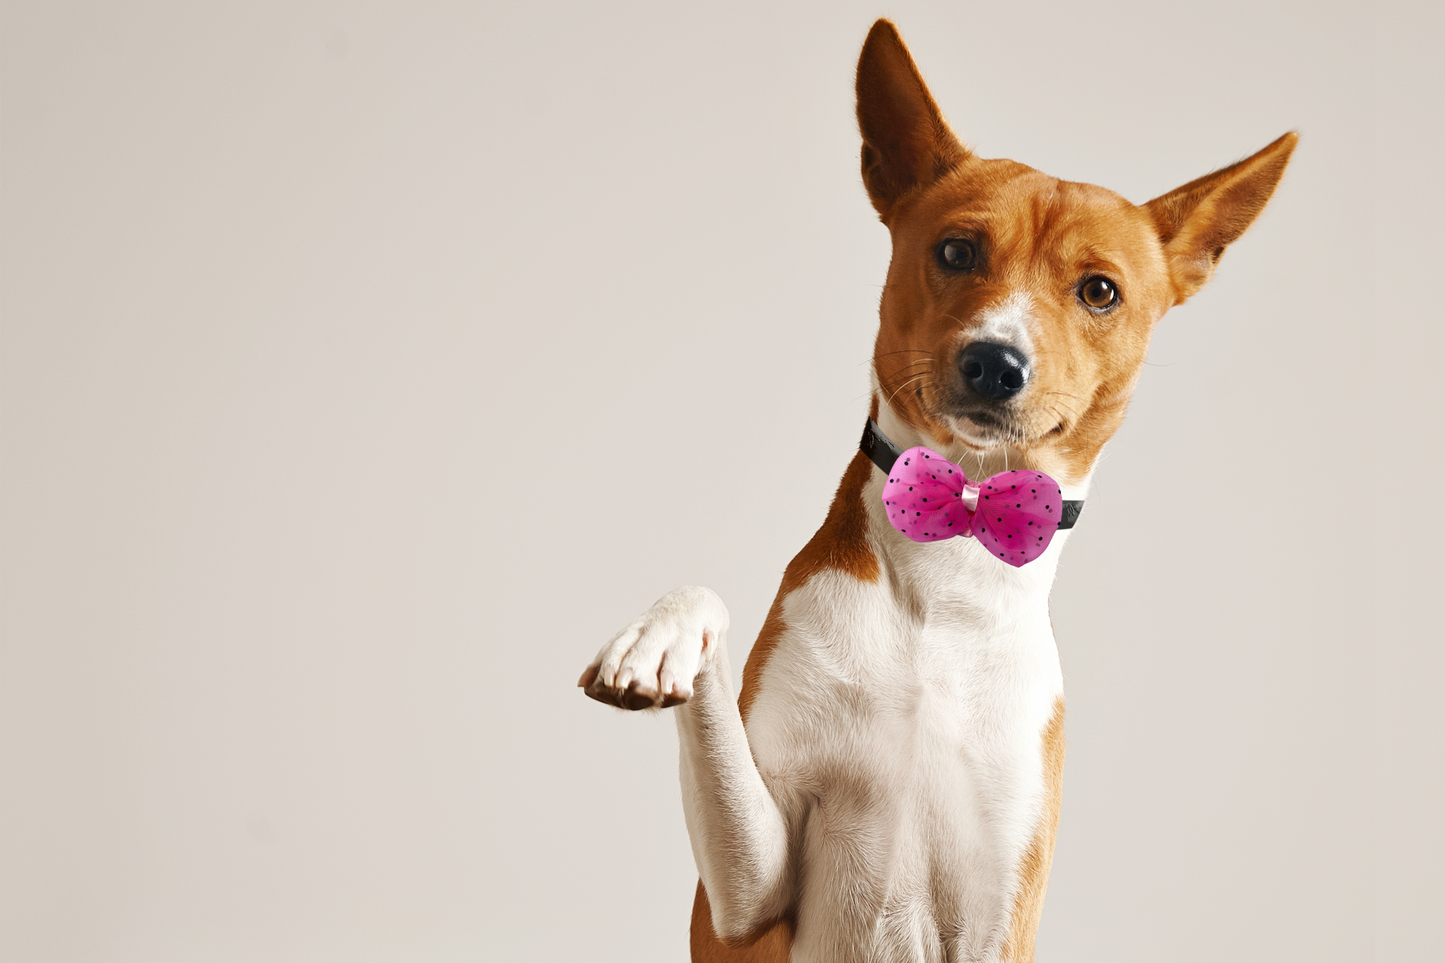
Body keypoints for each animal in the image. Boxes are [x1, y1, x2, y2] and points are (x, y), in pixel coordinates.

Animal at [575, 16, 1300, 960]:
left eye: (1099, 291)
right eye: (957, 250)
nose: (995, 361)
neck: (953, 560)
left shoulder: (1001, 911)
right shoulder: (744, 903)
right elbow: (705, 609)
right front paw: (656, 640)